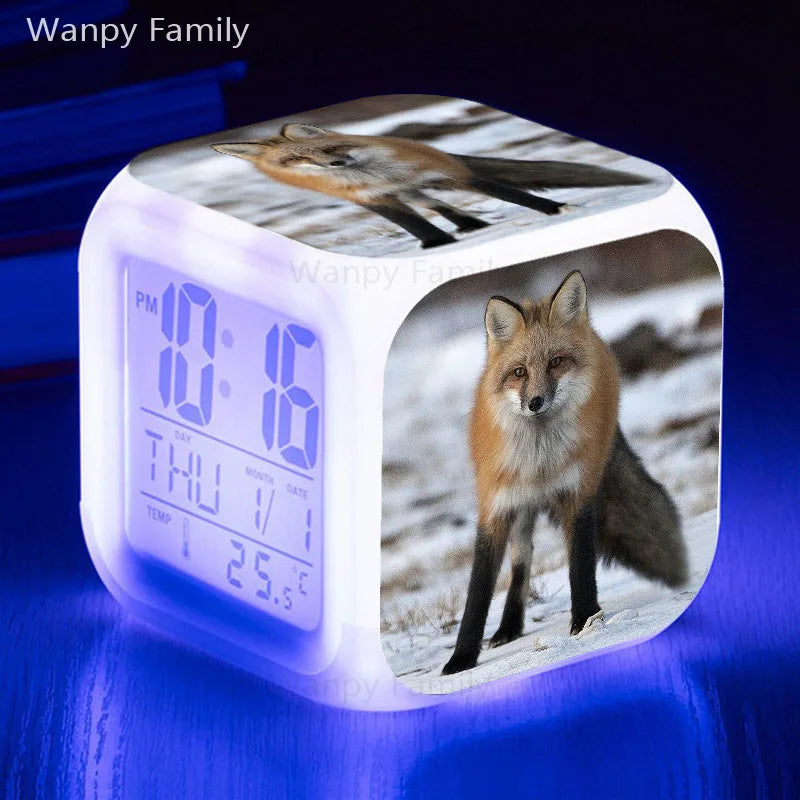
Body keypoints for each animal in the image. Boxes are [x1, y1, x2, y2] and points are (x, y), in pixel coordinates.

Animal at [211, 123, 651, 249]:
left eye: (329, 149)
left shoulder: (454, 175)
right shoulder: (375, 199)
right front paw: (437, 246)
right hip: (414, 194)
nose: (337, 164)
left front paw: (555, 211)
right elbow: (416, 226)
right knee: (440, 209)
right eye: (295, 160)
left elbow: (511, 193)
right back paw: (468, 228)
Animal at [441, 271, 688, 675]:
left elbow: (580, 565)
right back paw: (508, 627)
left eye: (556, 362)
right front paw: (461, 660)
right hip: (520, 511)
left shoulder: (579, 493)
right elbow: (477, 592)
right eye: (519, 372)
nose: (534, 402)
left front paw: (586, 620)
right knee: (522, 562)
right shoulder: (495, 507)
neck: (540, 462)